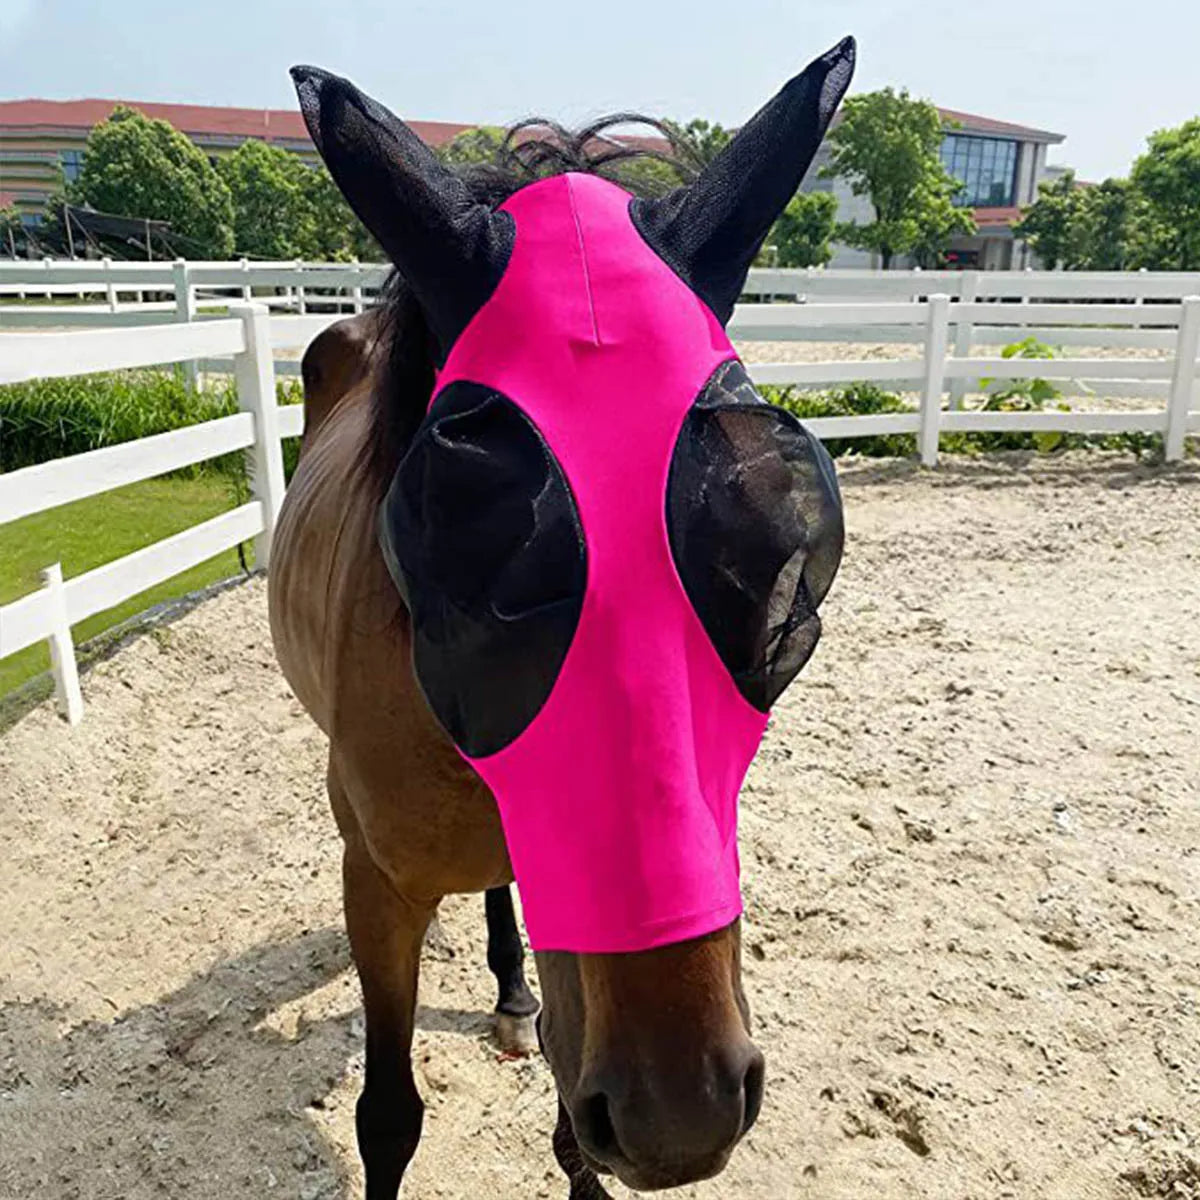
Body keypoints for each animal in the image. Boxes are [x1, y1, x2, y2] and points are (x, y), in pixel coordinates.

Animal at [269, 36, 855, 1198]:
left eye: (775, 564)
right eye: (461, 543)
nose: (682, 1113)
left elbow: (568, 1126)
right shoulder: (377, 891)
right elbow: (387, 1119)